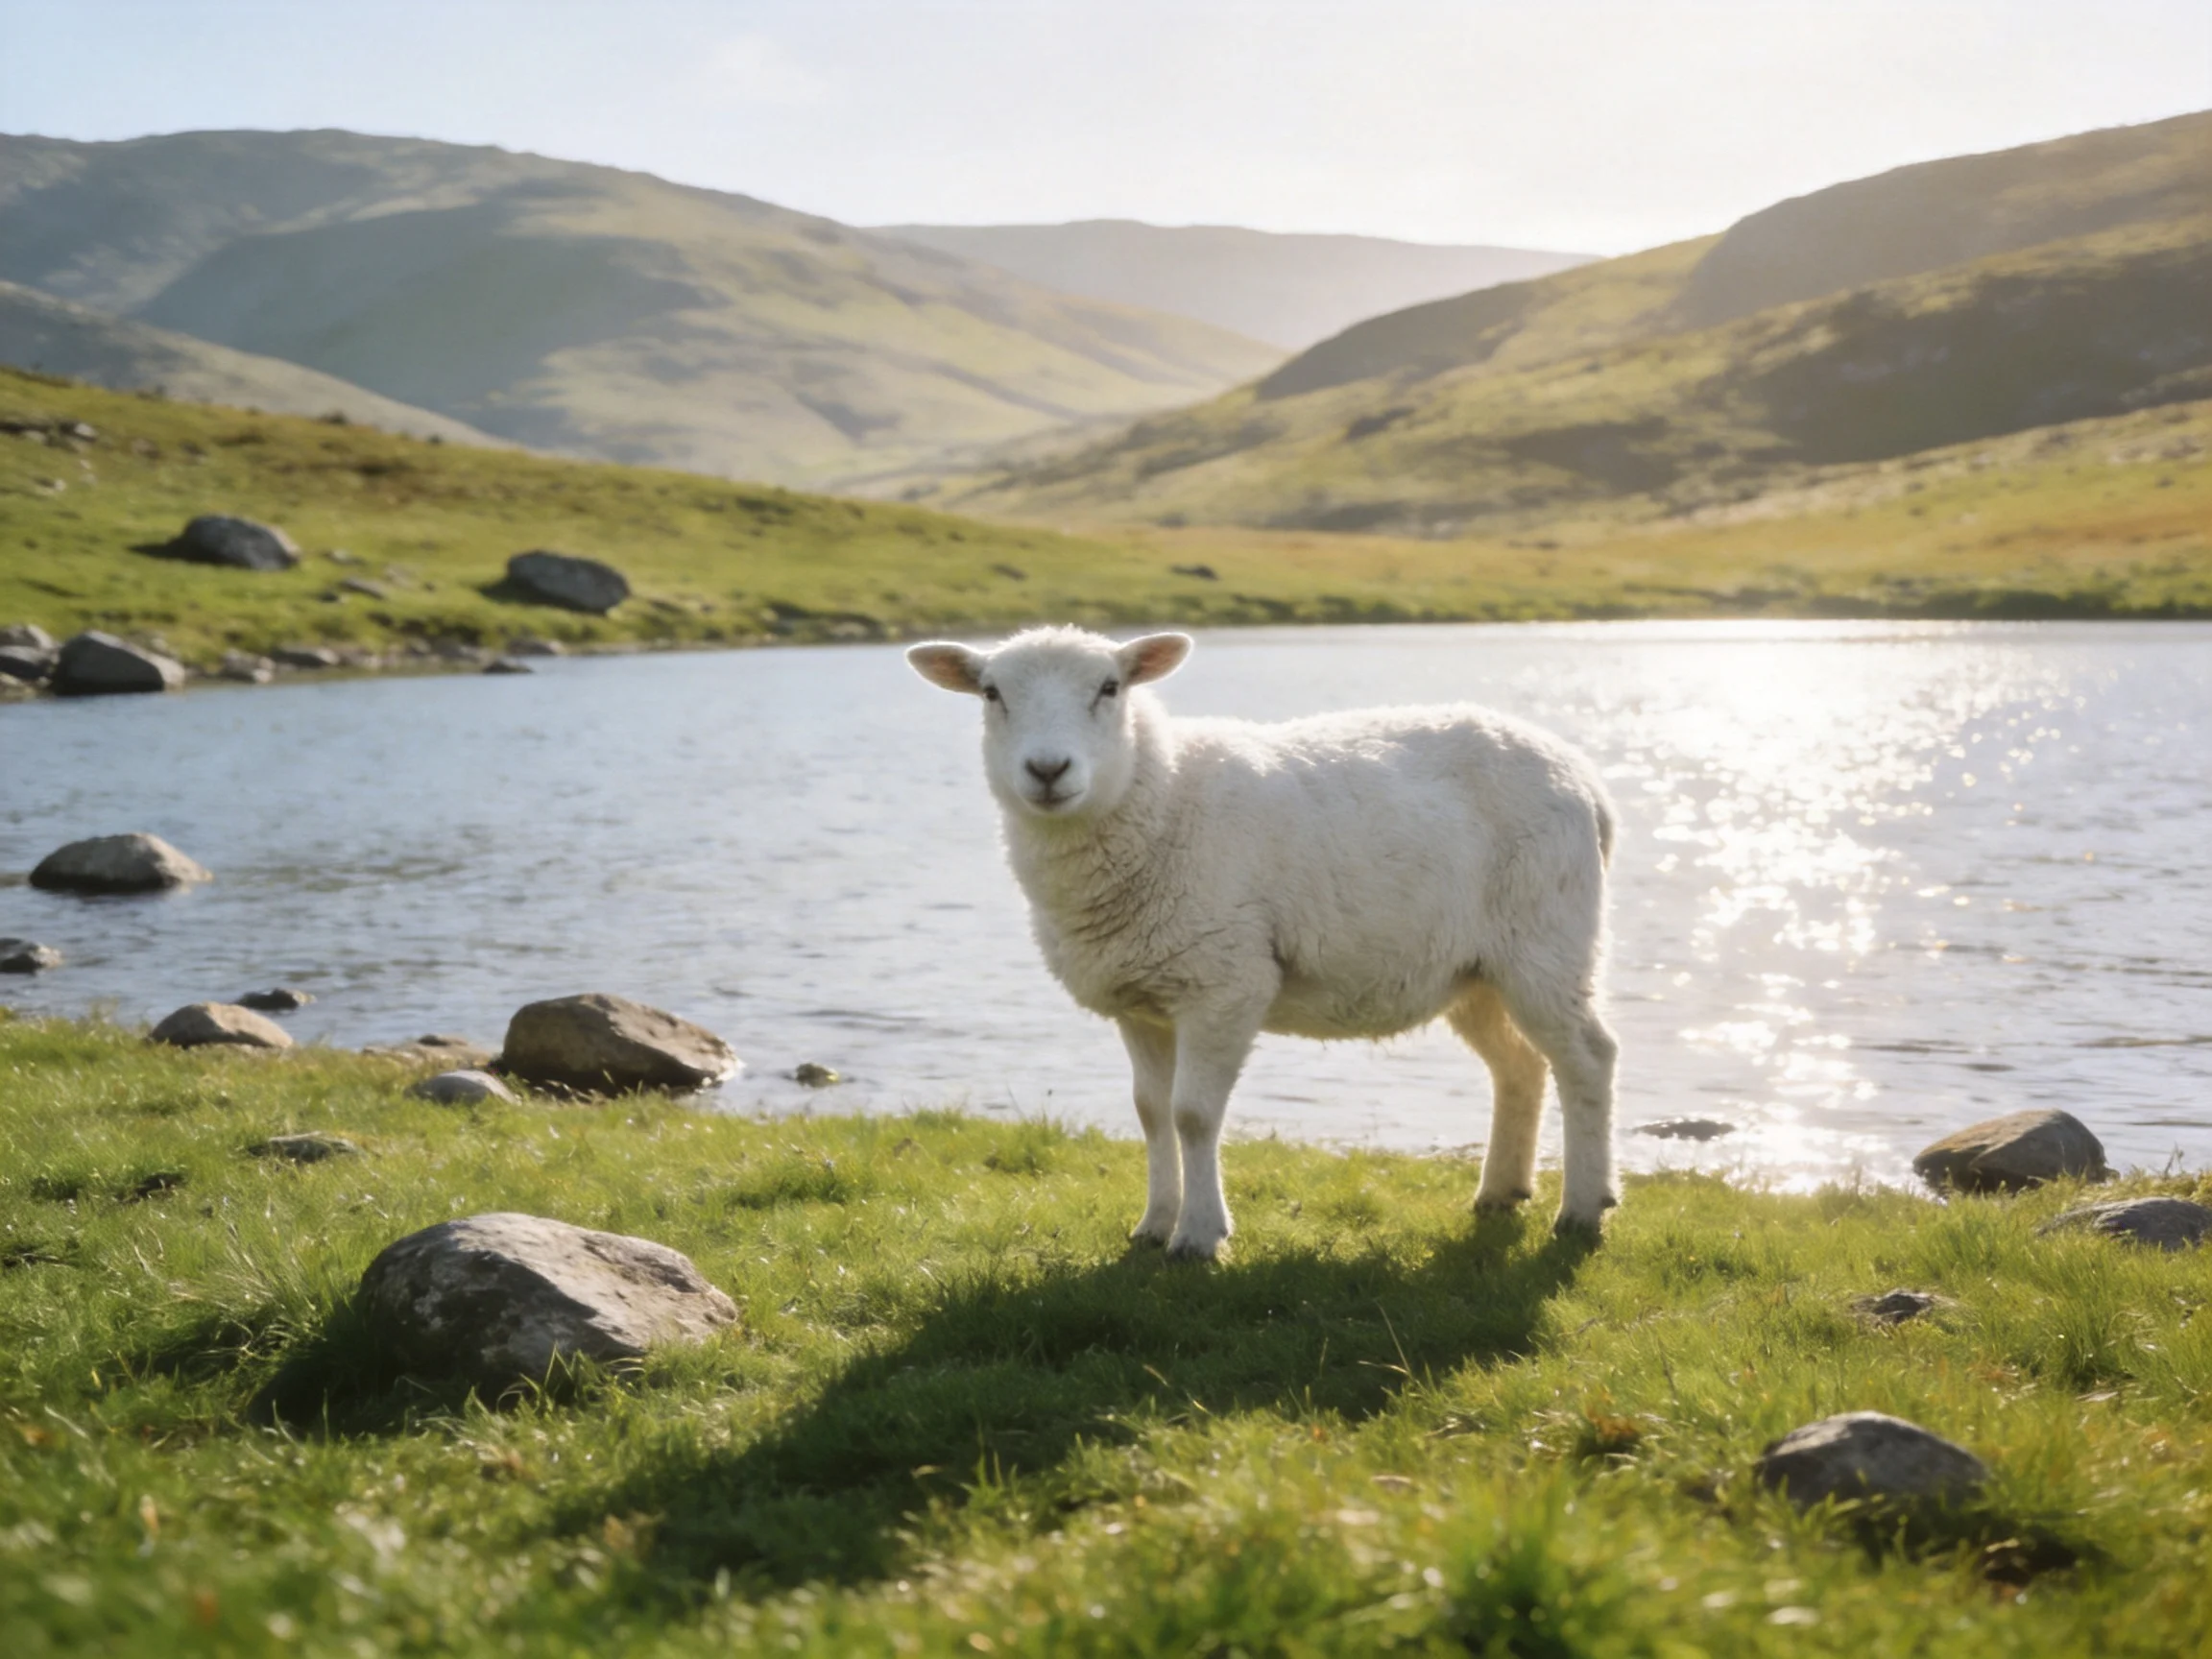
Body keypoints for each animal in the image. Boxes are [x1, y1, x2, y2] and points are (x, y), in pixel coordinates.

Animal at [906, 625, 1619, 1260]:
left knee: (1588, 1059)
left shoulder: (1223, 980)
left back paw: (1583, 1210)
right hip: (1477, 969)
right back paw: (1502, 1192)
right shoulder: (1140, 998)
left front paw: (1198, 1236)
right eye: (992, 692)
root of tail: (1584, 778)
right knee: (1520, 1065)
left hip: (1547, 939)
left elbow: (1193, 1114)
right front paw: (1153, 1225)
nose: (1048, 769)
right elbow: (1150, 1112)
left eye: (1110, 688)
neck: (1161, 797)